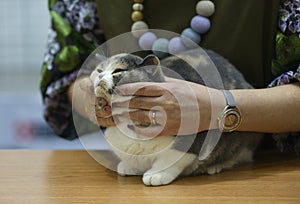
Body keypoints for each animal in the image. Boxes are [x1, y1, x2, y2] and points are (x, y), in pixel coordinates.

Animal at [89, 49, 262, 185]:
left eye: (118, 71)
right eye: (99, 70)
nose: (100, 76)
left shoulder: (194, 138)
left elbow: (171, 158)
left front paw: (156, 174)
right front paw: (130, 166)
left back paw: (215, 166)